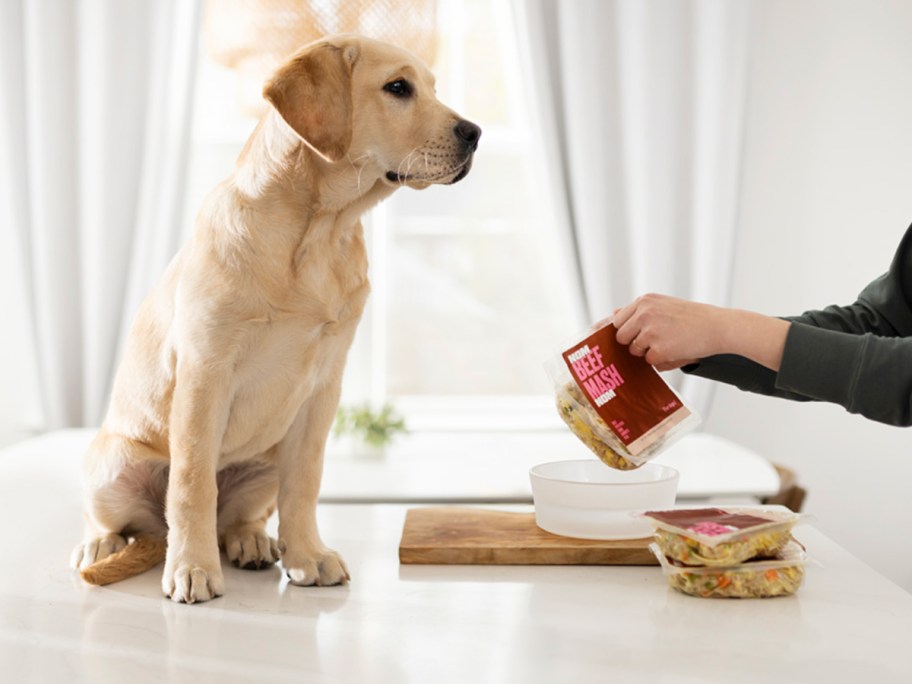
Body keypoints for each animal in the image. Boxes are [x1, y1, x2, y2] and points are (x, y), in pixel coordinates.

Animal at [70, 34, 480, 600]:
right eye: (398, 88)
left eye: (434, 88)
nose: (475, 133)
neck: (319, 231)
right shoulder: (205, 373)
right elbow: (193, 483)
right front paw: (193, 568)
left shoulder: (323, 386)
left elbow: (304, 484)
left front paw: (307, 556)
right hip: (112, 462)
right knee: (119, 519)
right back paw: (103, 545)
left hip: (263, 464)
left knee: (240, 516)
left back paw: (252, 542)